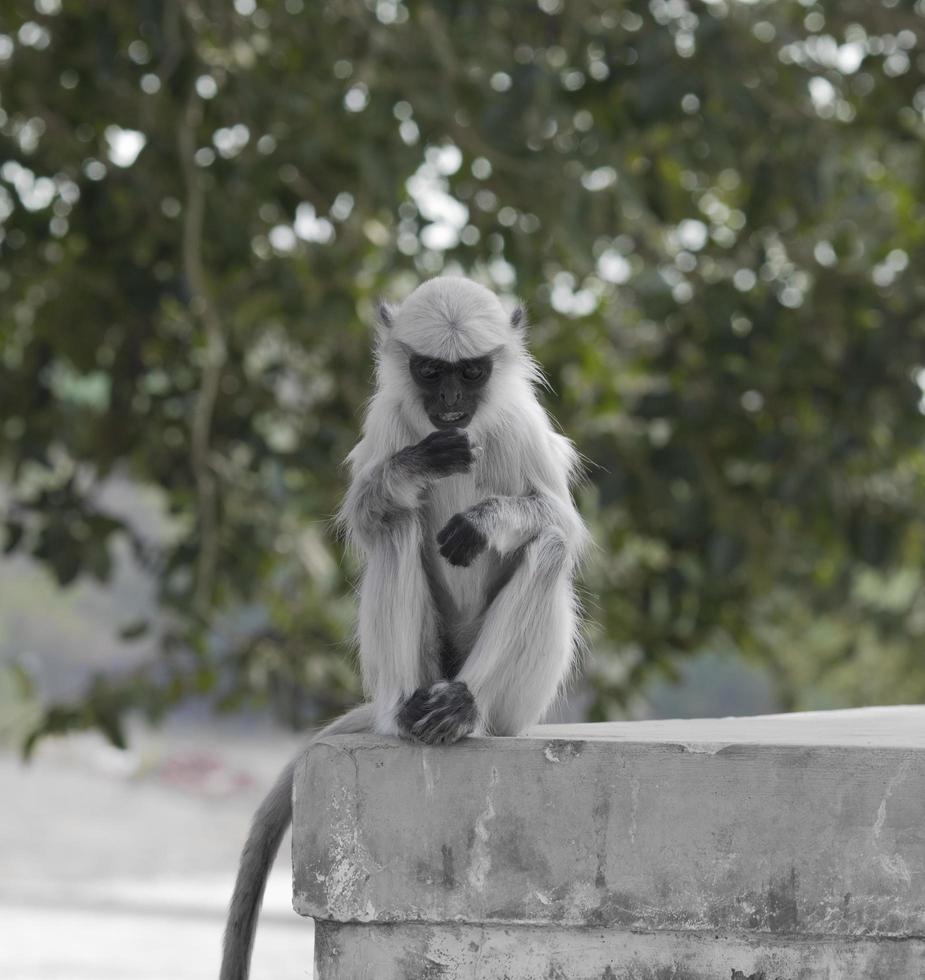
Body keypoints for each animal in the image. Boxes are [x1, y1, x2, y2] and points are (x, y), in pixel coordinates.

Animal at [220, 276, 588, 980]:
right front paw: (416, 466)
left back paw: (462, 708)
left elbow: (563, 522)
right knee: (394, 527)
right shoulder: (388, 418)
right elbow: (368, 515)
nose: (448, 405)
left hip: (515, 703)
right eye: (429, 371)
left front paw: (487, 521)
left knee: (550, 545)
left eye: (470, 373)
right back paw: (402, 714)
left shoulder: (524, 424)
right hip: (418, 663)